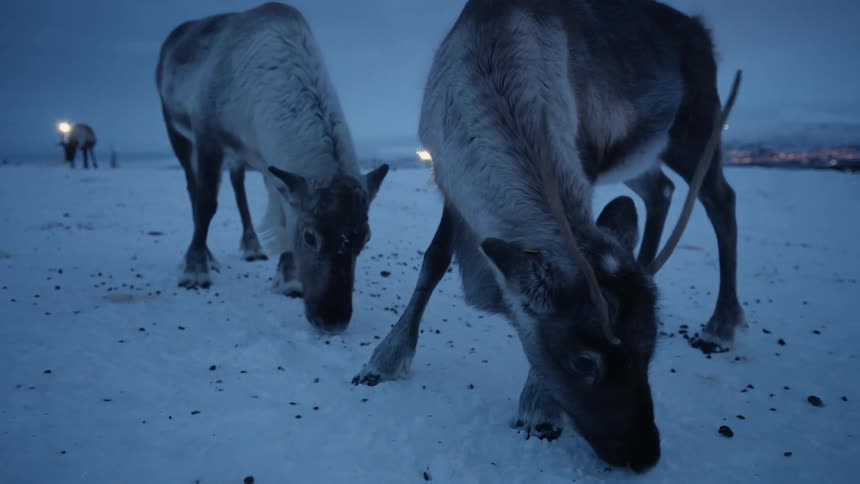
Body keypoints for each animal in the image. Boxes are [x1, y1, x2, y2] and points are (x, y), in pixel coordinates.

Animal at [156, 2, 389, 332]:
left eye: (365, 238)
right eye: (310, 236)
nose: (333, 320)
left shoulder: (271, 162)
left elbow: (281, 214)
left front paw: (289, 278)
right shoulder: (207, 135)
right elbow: (207, 205)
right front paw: (194, 271)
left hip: (236, 156)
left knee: (237, 184)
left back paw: (252, 246)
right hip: (174, 128)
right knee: (193, 188)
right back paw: (208, 256)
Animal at [354, 0, 742, 472]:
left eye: (650, 350)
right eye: (583, 362)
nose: (645, 453)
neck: (492, 60)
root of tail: (701, 31)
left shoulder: (583, 157)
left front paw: (537, 407)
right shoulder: (453, 183)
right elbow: (433, 260)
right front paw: (384, 359)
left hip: (696, 128)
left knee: (721, 200)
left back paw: (722, 325)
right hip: (642, 154)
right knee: (663, 191)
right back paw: (651, 267)